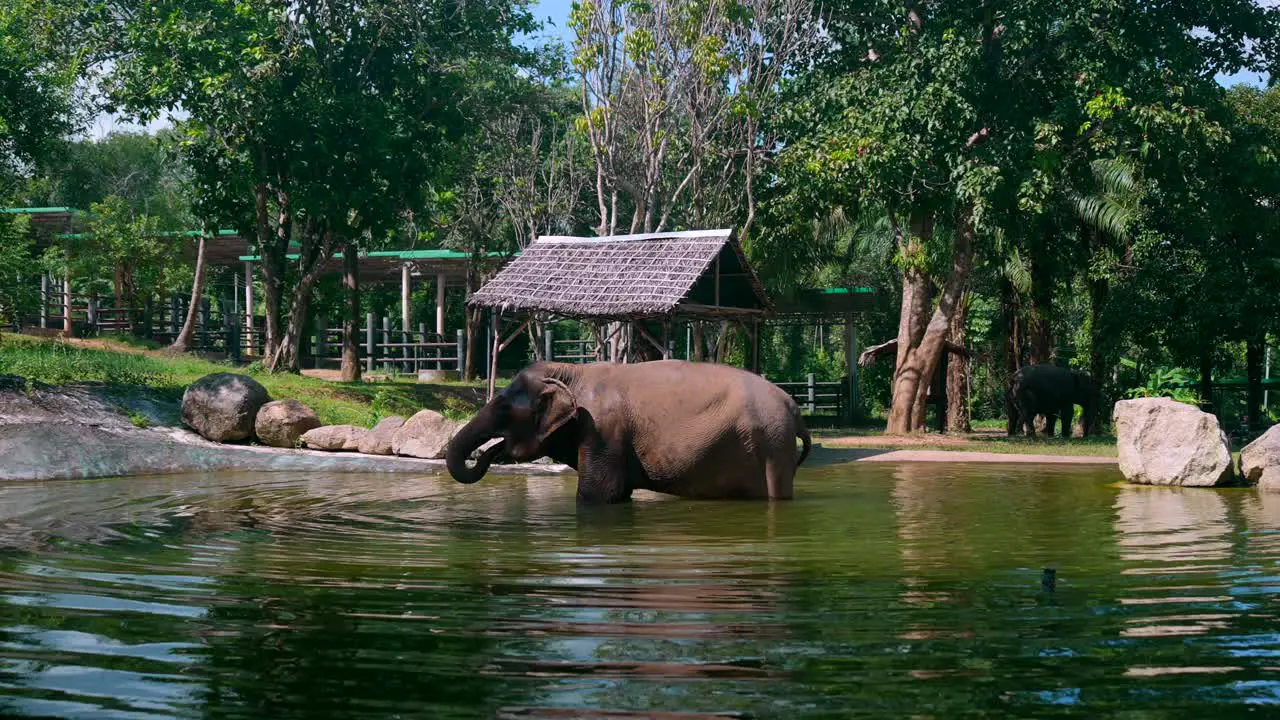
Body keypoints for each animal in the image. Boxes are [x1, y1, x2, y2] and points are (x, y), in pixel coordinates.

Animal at [445, 358, 814, 504]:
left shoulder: (602, 432)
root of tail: (794, 407)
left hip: (773, 446)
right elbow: (618, 495)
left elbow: (596, 496)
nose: (487, 452)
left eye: (504, 408)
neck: (569, 372)